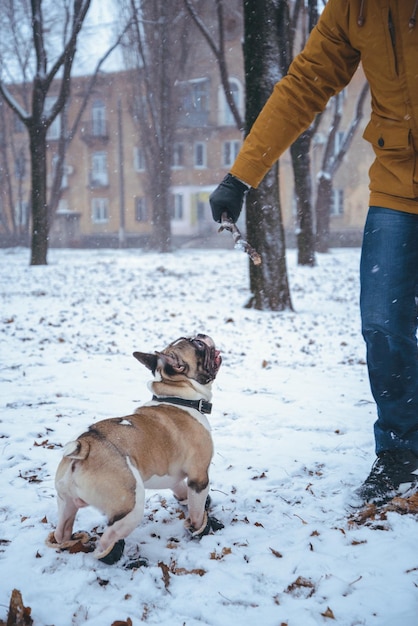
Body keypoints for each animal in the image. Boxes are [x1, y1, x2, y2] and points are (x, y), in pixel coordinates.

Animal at [45, 334, 222, 564]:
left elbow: (181, 491)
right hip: (131, 506)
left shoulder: (172, 475)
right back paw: (118, 556)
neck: (178, 396)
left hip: (65, 501)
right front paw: (201, 529)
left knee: (62, 531)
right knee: (106, 540)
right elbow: (197, 511)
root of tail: (85, 446)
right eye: (198, 345)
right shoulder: (199, 477)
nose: (201, 335)